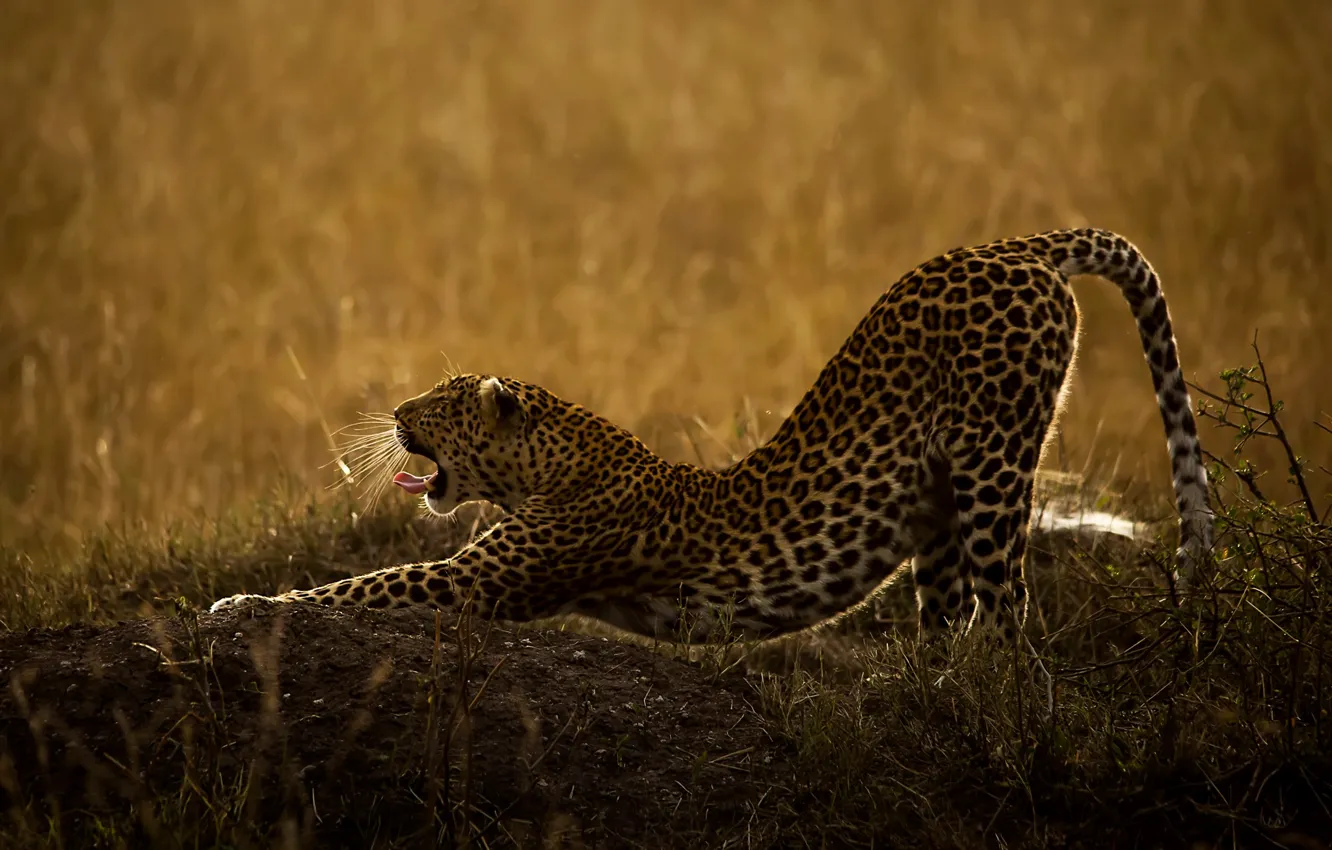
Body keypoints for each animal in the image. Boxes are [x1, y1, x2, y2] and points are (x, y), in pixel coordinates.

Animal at [209, 228, 1213, 648]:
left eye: (445, 401)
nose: (397, 416)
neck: (550, 462)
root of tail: (1018, 248)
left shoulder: (480, 579)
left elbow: (359, 587)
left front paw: (241, 607)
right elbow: (362, 584)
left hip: (995, 459)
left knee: (1009, 609)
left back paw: (989, 687)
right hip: (936, 500)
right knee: (951, 607)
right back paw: (927, 689)